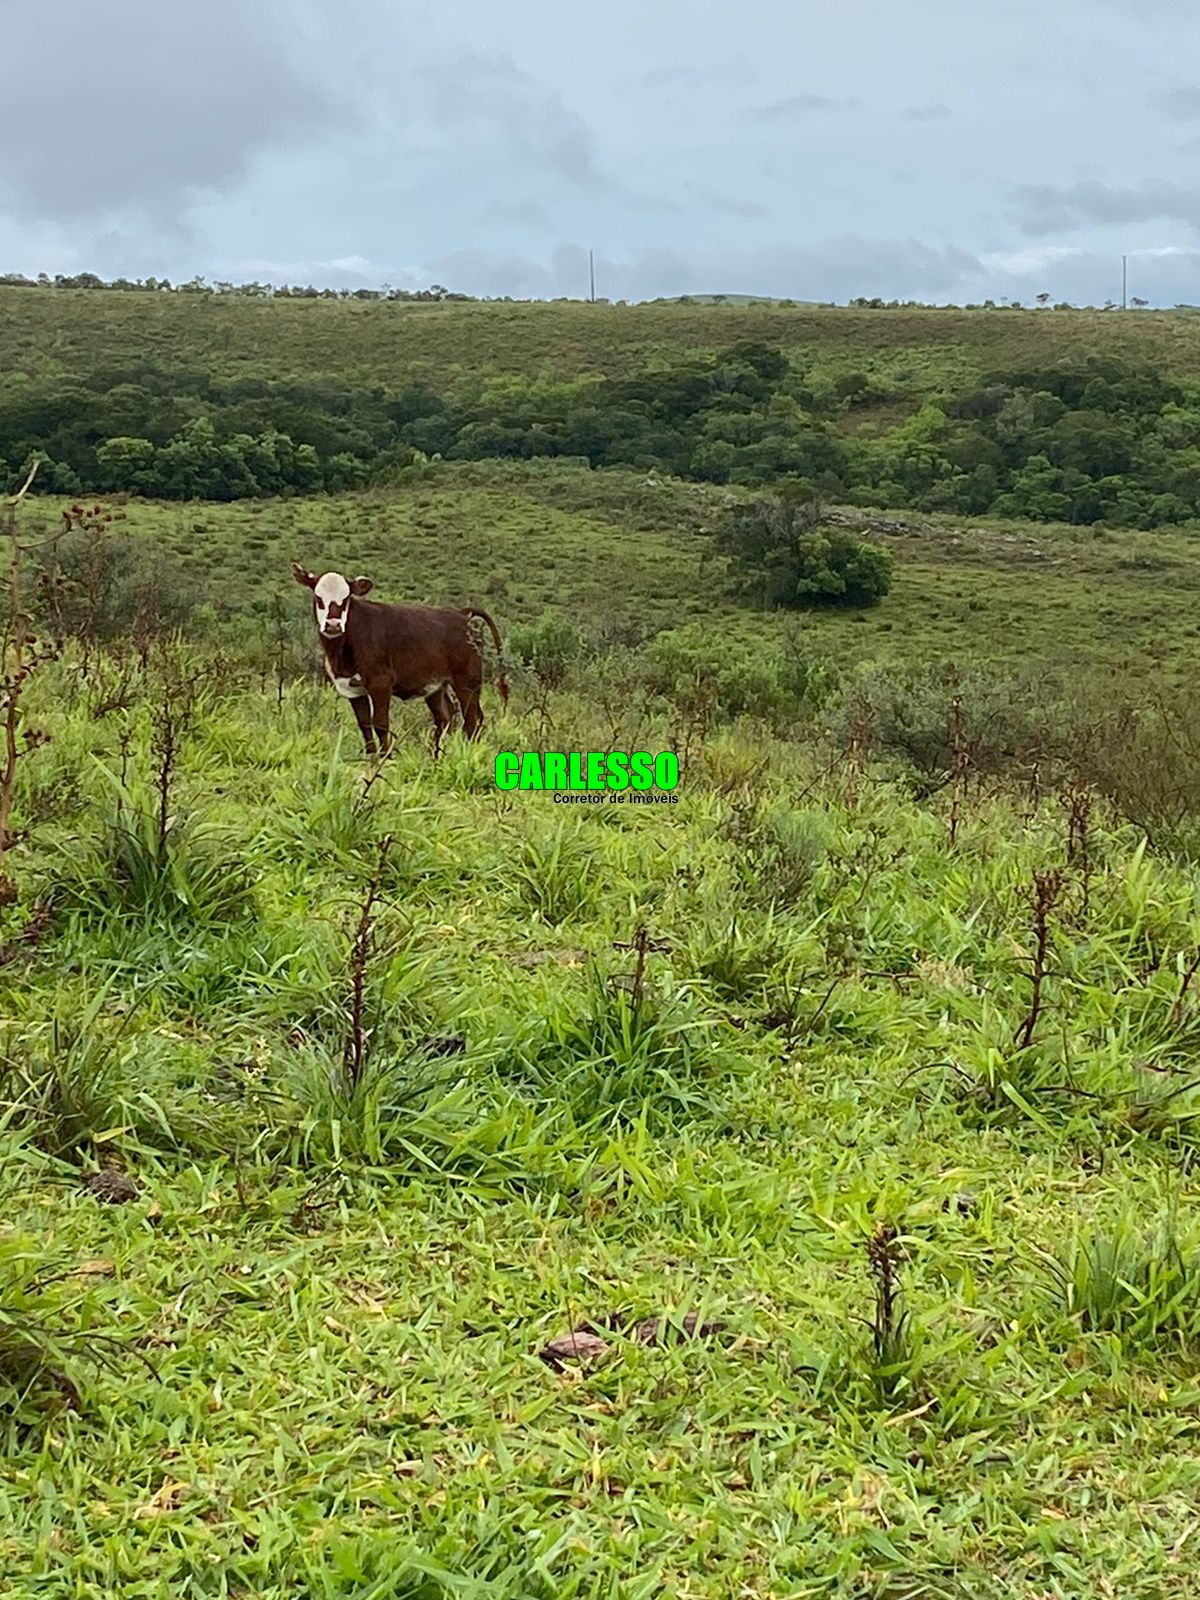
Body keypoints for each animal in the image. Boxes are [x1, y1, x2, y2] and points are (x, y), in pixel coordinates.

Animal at [296, 566, 512, 758]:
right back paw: (436, 757)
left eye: (346, 599)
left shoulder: (380, 683)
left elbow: (381, 724)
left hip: (467, 682)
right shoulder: (351, 688)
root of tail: (462, 613)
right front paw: (371, 760)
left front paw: (386, 760)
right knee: (445, 717)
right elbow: (365, 726)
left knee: (472, 722)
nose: (332, 625)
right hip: (436, 685)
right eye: (318, 598)